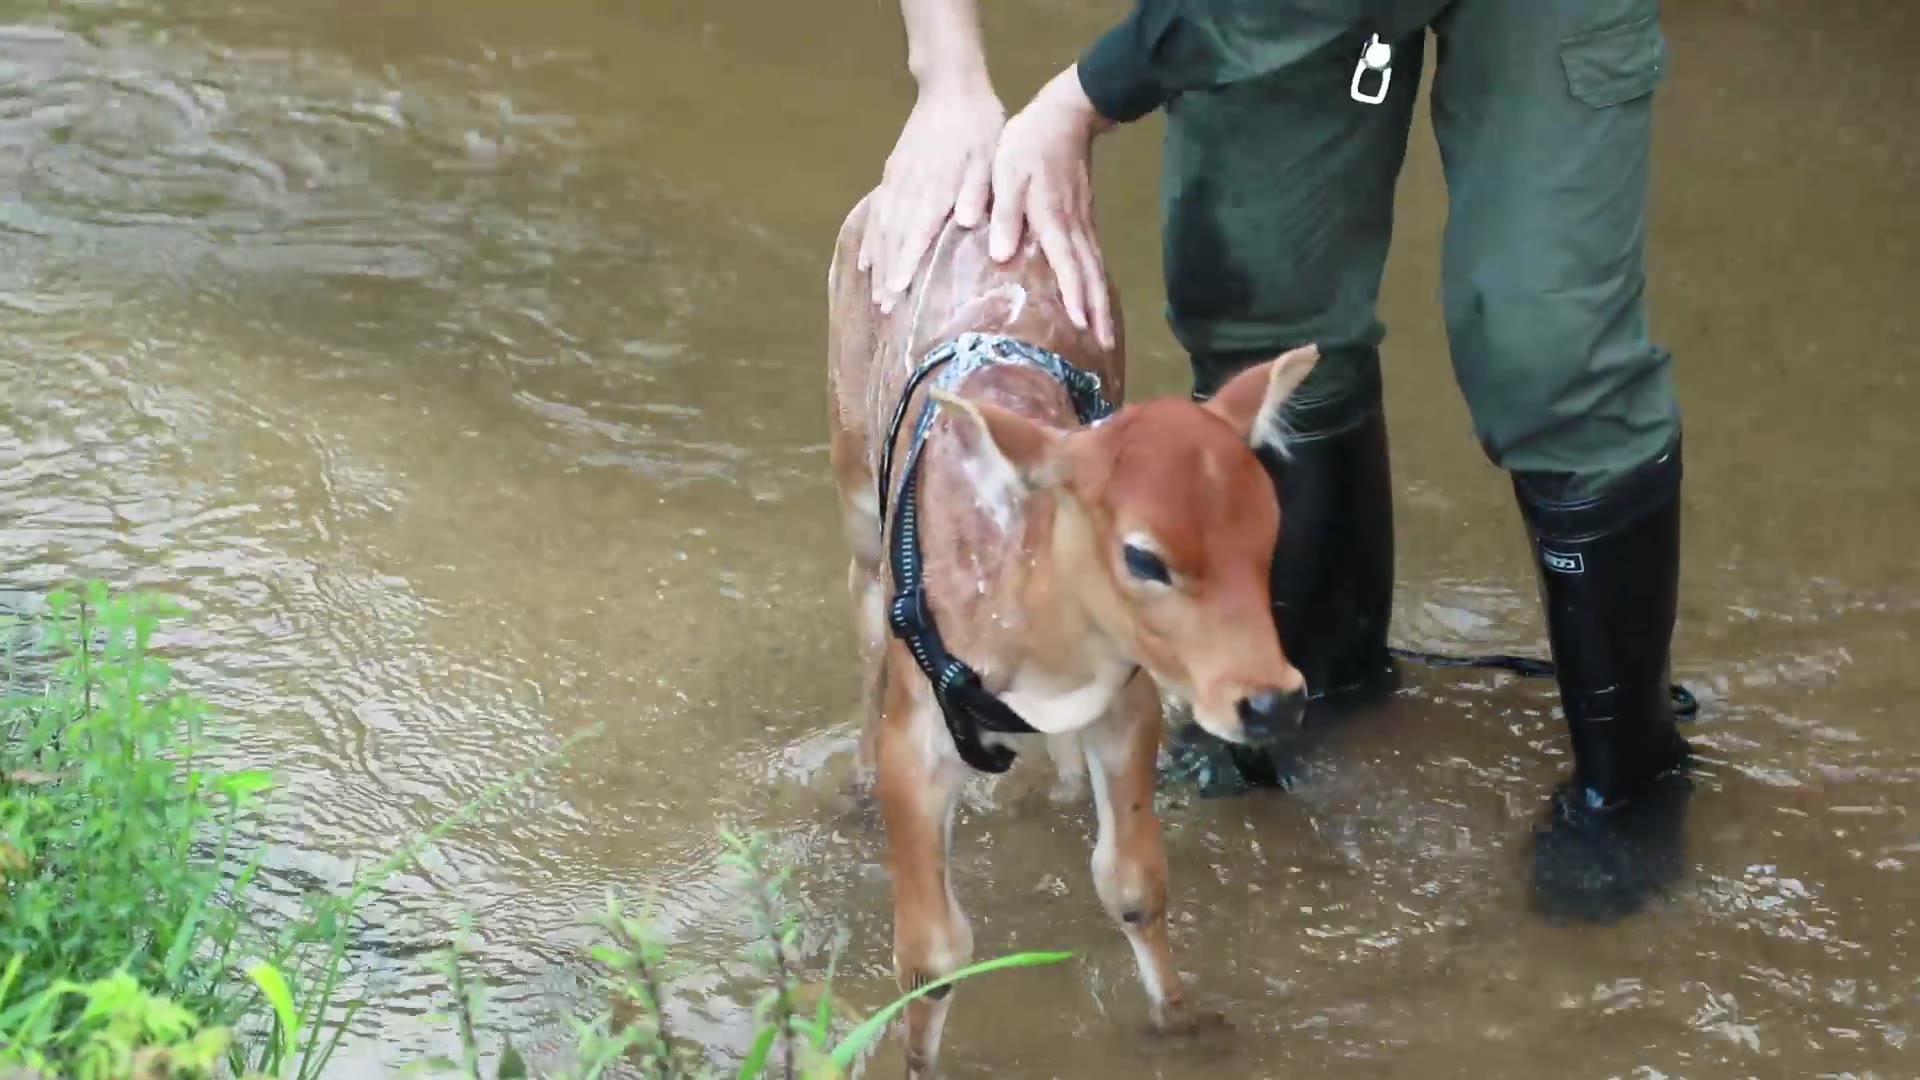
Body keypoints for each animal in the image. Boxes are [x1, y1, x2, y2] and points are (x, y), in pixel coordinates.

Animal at [825, 195, 1320, 1076]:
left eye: (1270, 531)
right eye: (1144, 556)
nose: (1272, 702)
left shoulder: (1130, 700)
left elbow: (1133, 883)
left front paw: (1182, 1019)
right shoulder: (916, 736)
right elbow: (931, 953)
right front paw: (913, 1059)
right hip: (854, 484)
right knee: (863, 616)